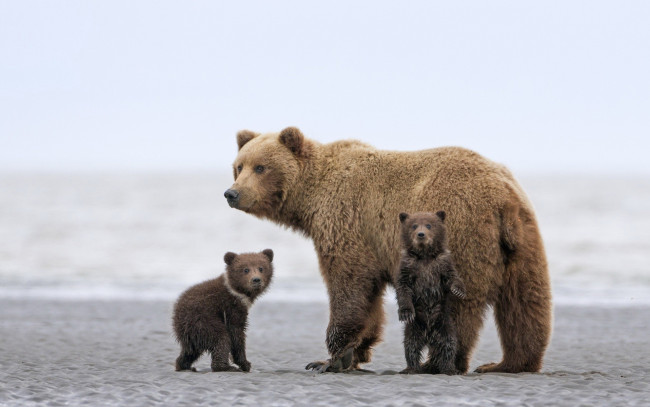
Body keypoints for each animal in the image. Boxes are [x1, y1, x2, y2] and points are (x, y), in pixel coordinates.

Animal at [225, 127, 548, 376]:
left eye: (261, 167)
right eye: (239, 166)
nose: (232, 193)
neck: (311, 198)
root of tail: (502, 197)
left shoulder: (346, 220)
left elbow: (349, 283)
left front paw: (329, 358)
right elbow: (370, 298)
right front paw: (355, 353)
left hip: (460, 231)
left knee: (457, 306)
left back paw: (436, 364)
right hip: (521, 241)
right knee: (526, 302)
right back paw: (508, 363)